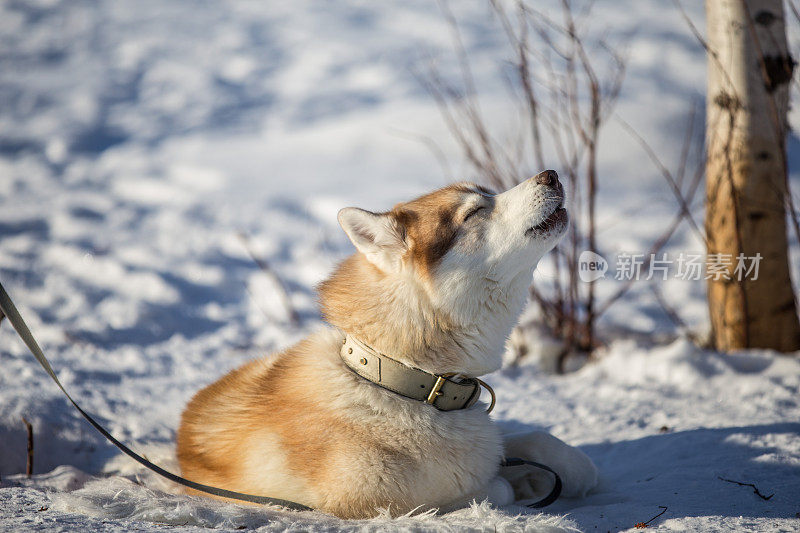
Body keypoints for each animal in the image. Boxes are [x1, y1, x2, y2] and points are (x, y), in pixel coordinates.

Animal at [178, 170, 596, 516]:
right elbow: (489, 486)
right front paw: (516, 482)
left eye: (489, 193)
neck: (402, 379)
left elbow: (530, 438)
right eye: (476, 211)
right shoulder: (368, 498)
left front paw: (570, 467)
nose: (551, 174)